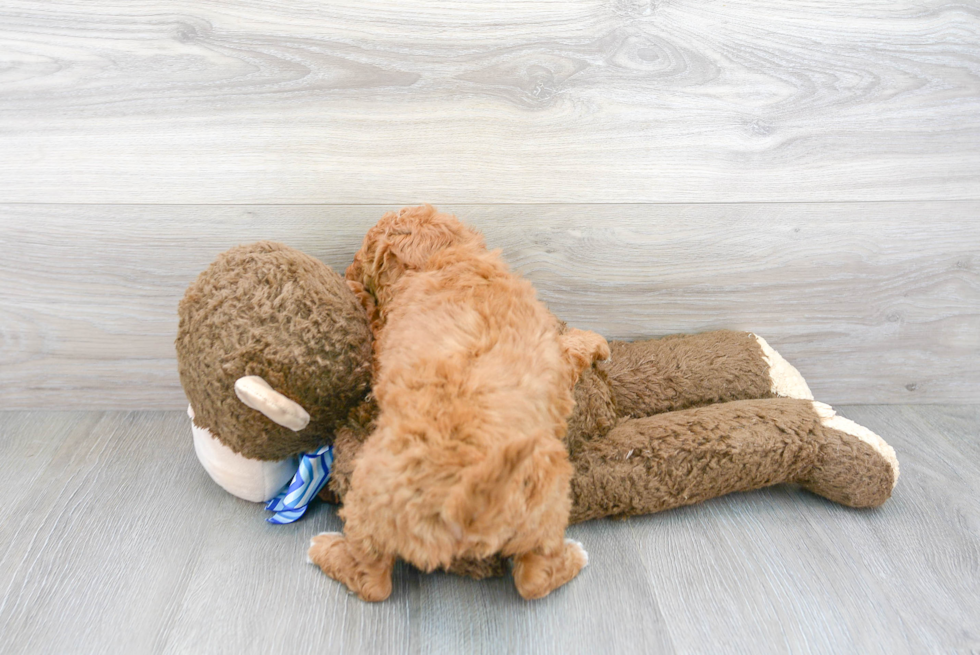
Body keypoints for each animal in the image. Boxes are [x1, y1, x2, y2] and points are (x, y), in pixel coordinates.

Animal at [310, 205, 608, 600]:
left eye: (365, 252)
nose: (347, 268)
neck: (445, 256)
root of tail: (466, 504)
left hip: (372, 497)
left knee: (373, 580)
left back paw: (324, 549)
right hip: (546, 502)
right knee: (533, 578)